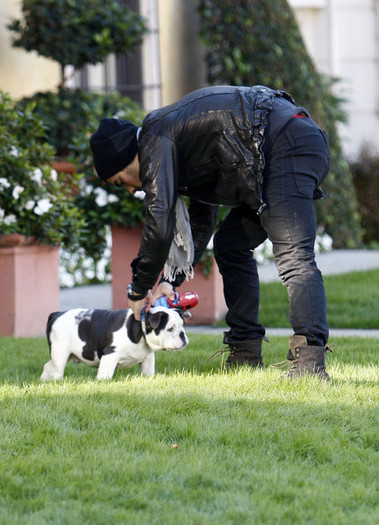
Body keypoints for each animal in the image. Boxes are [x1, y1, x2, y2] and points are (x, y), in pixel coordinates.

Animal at [40, 302, 189, 380]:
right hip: (60, 352)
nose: (182, 335)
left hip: (65, 354)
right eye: (170, 329)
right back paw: (57, 381)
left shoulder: (147, 358)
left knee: (48, 366)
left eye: (182, 326)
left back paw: (44, 380)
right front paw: (103, 382)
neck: (139, 328)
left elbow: (148, 371)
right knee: (57, 369)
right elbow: (105, 373)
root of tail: (56, 314)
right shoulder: (110, 355)